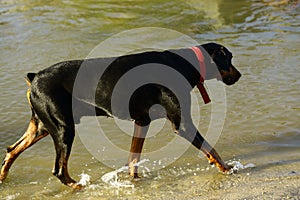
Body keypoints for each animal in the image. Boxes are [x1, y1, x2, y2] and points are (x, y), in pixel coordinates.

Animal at [0, 42, 239, 189]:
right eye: (230, 59)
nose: (239, 75)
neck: (185, 63)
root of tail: (35, 77)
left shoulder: (142, 121)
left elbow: (133, 157)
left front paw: (134, 180)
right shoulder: (182, 124)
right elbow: (211, 149)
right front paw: (227, 168)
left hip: (41, 126)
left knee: (12, 150)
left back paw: (2, 177)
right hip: (63, 129)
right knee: (59, 170)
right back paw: (79, 186)